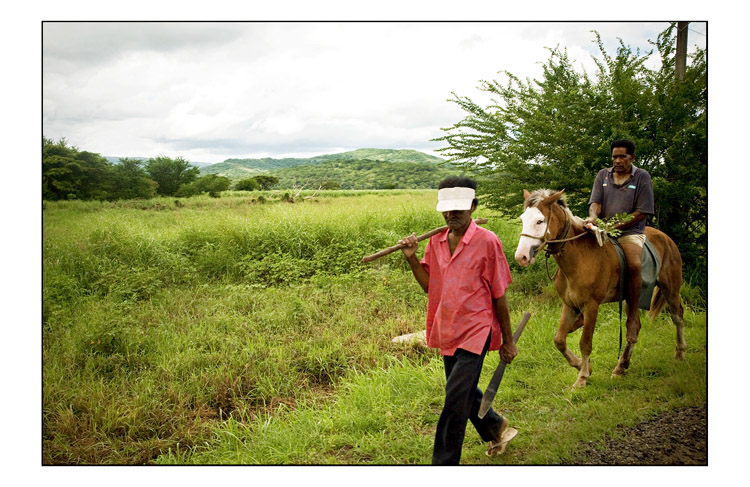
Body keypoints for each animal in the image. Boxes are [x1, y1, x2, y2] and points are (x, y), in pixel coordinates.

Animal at [516, 190, 688, 388]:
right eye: (523, 219)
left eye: (540, 221)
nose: (521, 257)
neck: (580, 257)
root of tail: (666, 238)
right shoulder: (569, 305)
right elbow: (559, 339)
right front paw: (582, 366)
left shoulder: (591, 306)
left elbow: (585, 342)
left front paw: (582, 377)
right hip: (631, 300)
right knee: (635, 327)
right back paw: (621, 367)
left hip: (670, 289)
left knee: (676, 317)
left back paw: (680, 352)